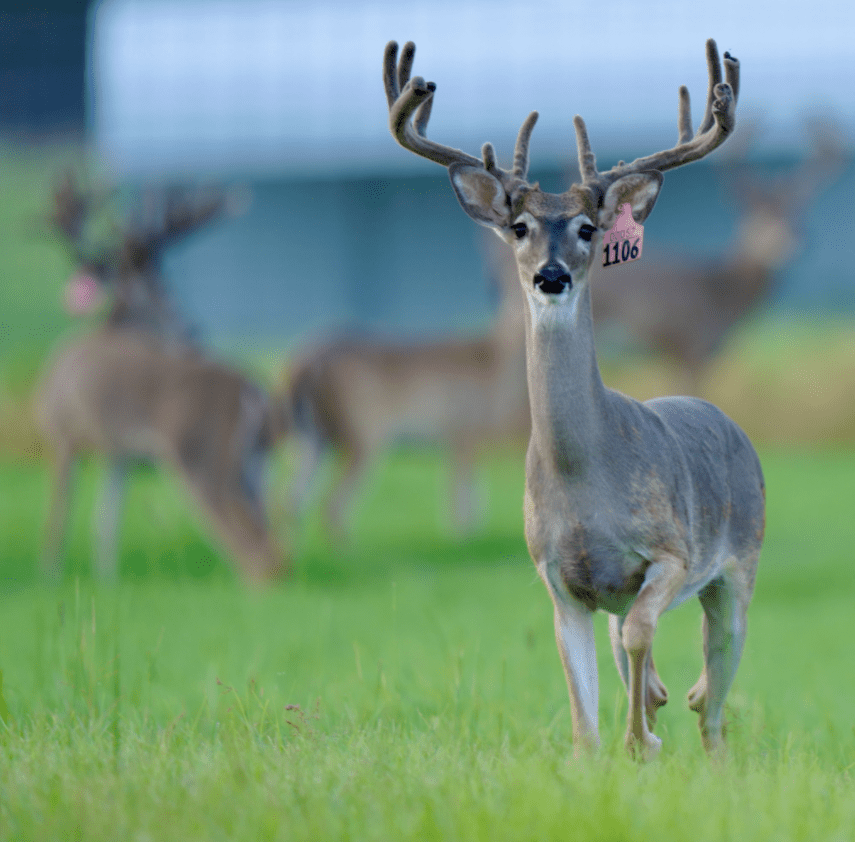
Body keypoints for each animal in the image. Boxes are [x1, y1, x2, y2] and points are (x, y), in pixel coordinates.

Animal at [36, 176, 288, 584]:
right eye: (160, 285)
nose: (191, 329)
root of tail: (254, 392)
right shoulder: (118, 453)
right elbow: (105, 522)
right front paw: (106, 582)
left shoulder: (62, 433)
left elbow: (57, 520)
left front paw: (49, 578)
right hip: (256, 459)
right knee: (271, 529)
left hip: (200, 454)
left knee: (256, 548)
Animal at [285, 253, 528, 537]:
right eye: (500, 286)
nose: (516, 315)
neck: (495, 367)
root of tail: (304, 361)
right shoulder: (461, 430)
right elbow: (462, 510)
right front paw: (461, 538)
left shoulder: (465, 439)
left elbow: (472, 505)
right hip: (363, 433)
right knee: (330, 505)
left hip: (312, 437)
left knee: (291, 501)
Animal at [383, 38, 765, 759]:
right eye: (519, 226)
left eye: (589, 228)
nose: (551, 275)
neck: (586, 480)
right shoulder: (558, 580)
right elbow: (581, 713)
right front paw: (616, 742)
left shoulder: (671, 552)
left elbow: (642, 636)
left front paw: (641, 740)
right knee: (648, 659)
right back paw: (661, 699)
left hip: (738, 565)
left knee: (716, 703)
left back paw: (693, 723)